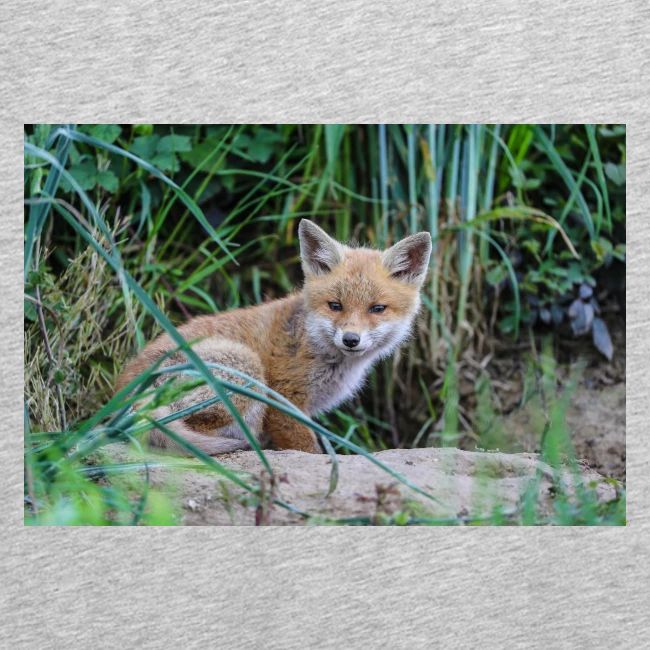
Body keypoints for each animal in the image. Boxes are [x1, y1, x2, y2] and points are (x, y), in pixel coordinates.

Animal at [116, 219, 432, 455]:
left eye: (377, 309)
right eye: (335, 305)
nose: (351, 339)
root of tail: (124, 395)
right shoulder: (284, 401)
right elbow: (308, 449)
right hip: (246, 368)